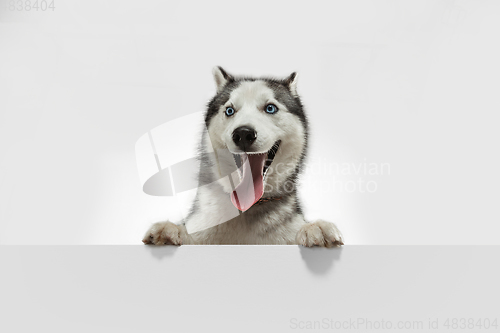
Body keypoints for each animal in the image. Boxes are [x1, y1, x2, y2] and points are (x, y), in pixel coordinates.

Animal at [143, 67, 342, 246]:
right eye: (230, 110)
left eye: (270, 108)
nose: (244, 133)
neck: (246, 207)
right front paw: (172, 230)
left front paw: (315, 228)